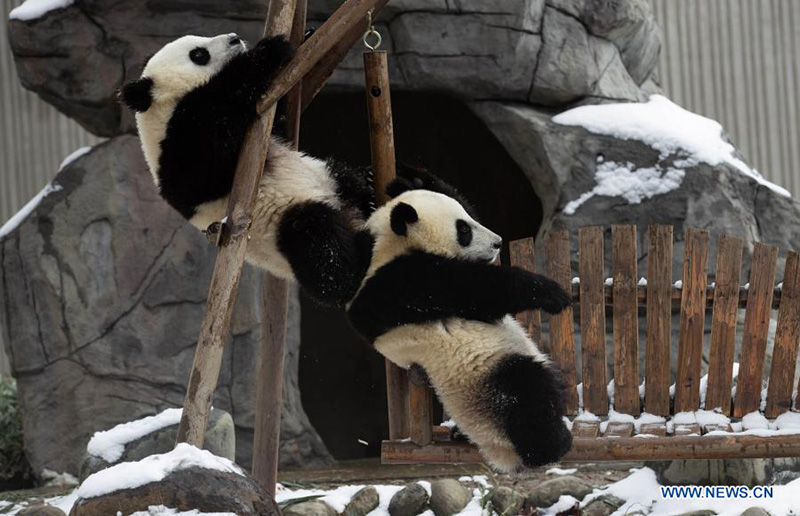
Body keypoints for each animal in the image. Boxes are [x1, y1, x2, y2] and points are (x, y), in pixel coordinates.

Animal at [119, 33, 376, 306]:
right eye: (198, 54)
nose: (235, 38)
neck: (162, 112)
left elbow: (279, 124)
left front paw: (304, 37)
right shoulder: (177, 150)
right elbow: (210, 154)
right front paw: (266, 51)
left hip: (325, 176)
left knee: (347, 179)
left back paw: (371, 190)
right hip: (283, 225)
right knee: (317, 245)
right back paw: (357, 257)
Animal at [350, 183, 576, 474]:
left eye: (469, 216)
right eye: (464, 229)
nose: (498, 242)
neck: (393, 245)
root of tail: (498, 449)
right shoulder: (403, 284)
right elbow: (475, 289)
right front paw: (551, 293)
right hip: (487, 376)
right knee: (525, 395)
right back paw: (551, 445)